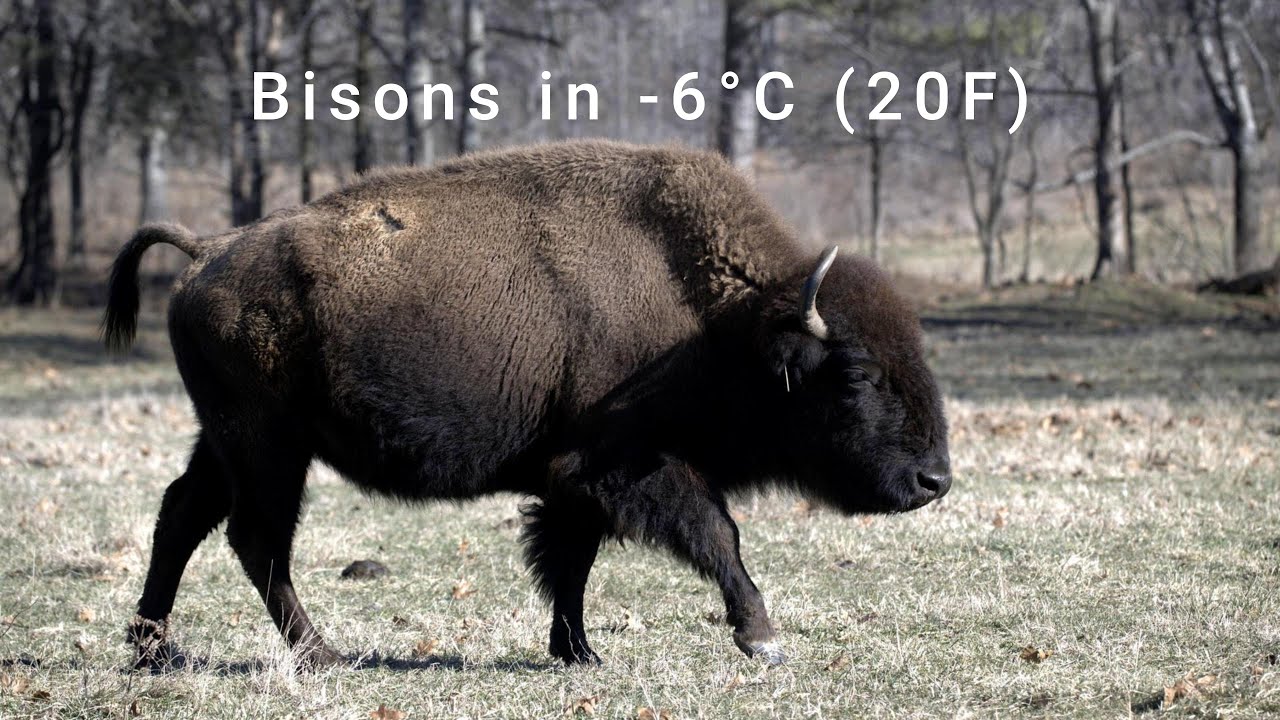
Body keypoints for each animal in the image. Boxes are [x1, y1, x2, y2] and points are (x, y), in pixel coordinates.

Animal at [104, 140, 951, 669]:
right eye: (856, 376)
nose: (934, 480)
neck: (720, 318)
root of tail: (209, 249)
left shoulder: (573, 482)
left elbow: (569, 563)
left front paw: (579, 652)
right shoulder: (628, 467)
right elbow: (717, 536)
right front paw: (762, 640)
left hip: (226, 443)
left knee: (183, 514)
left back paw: (151, 650)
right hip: (269, 448)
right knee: (256, 539)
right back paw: (320, 656)